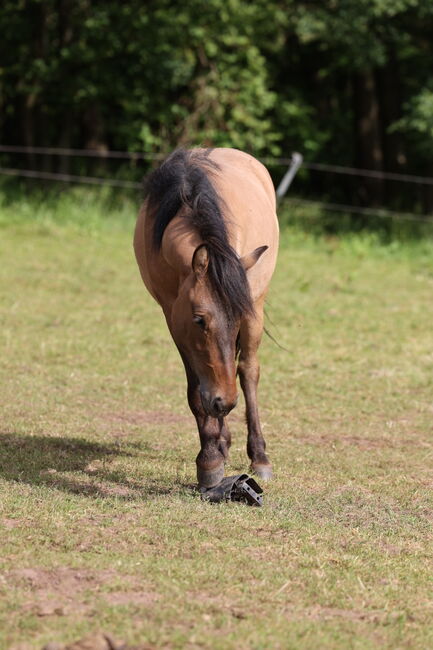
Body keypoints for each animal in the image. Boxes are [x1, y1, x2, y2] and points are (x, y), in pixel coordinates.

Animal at [133, 148, 278, 486]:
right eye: (200, 320)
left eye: (236, 320)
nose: (226, 401)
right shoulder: (175, 321)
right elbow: (196, 390)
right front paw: (211, 458)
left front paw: (213, 457)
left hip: (257, 308)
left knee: (247, 371)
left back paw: (259, 456)